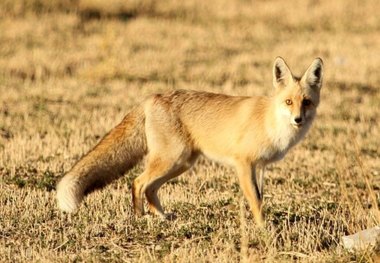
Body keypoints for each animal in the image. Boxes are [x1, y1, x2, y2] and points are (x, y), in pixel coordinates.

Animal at [56, 57, 324, 227]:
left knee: (150, 188)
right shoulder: (243, 164)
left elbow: (260, 198)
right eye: (288, 102)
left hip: (182, 163)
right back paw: (139, 219)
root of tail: (151, 97)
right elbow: (255, 201)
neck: (270, 122)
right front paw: (264, 230)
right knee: (137, 182)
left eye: (306, 102)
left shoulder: (260, 167)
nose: (298, 119)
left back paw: (161, 218)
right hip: (171, 159)